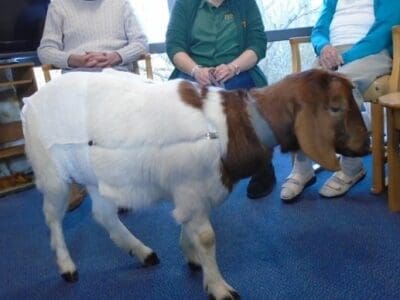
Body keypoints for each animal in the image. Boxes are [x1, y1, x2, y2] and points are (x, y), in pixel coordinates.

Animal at [22, 69, 368, 298]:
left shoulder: (193, 192)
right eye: (335, 106)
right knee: (52, 218)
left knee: (103, 215)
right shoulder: (189, 188)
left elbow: (188, 226)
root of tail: (31, 99)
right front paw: (219, 287)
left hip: (101, 176)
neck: (232, 126)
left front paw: (191, 258)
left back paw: (142, 252)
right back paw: (67, 267)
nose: (365, 145)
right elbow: (206, 236)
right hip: (52, 173)